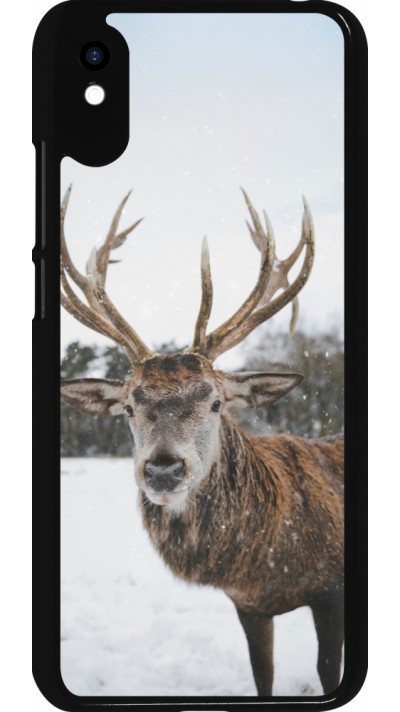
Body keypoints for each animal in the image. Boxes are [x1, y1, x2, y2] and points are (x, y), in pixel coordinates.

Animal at [60, 187, 344, 697]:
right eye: (128, 407)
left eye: (215, 402)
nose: (163, 469)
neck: (268, 563)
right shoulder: (248, 605)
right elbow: (263, 676)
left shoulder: (332, 590)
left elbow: (328, 672)